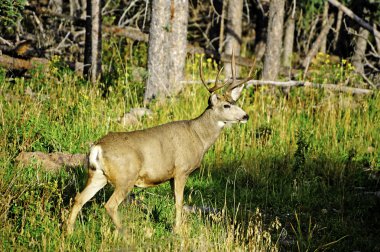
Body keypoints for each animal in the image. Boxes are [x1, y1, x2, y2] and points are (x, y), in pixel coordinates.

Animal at [67, 53, 254, 236]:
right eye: (226, 105)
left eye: (236, 102)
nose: (246, 116)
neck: (199, 137)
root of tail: (97, 147)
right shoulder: (181, 170)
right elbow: (179, 202)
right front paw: (178, 230)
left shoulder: (171, 175)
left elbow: (176, 200)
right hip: (125, 177)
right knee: (110, 205)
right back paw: (125, 234)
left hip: (98, 174)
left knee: (78, 198)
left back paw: (68, 231)